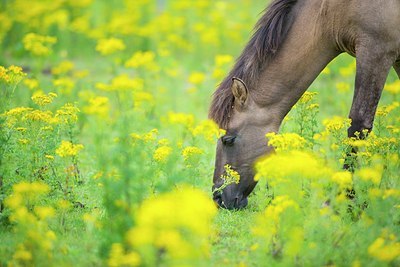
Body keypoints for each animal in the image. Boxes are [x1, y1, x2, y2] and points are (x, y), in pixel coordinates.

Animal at [209, 0, 400, 209]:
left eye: (228, 139)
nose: (218, 198)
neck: (331, 11)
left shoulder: (376, 51)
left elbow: (358, 126)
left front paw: (343, 202)